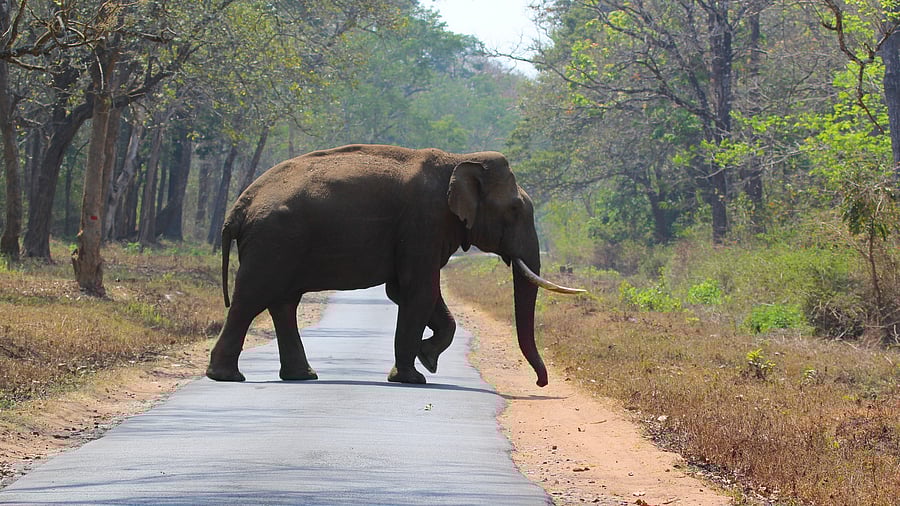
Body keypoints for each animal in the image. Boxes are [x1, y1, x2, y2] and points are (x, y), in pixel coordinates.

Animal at [205, 144, 584, 387]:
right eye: (516, 210)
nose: (541, 383)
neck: (459, 160)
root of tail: (238, 207)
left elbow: (405, 290)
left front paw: (426, 358)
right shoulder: (424, 221)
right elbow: (419, 290)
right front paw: (415, 375)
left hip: (280, 243)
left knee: (283, 302)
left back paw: (301, 376)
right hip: (274, 240)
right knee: (251, 298)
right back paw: (227, 377)